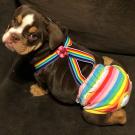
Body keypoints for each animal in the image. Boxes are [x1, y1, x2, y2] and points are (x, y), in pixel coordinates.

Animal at [2, 5, 132, 125]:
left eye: (33, 36)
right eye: (14, 21)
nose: (14, 36)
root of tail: (125, 93)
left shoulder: (40, 75)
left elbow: (41, 84)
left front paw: (36, 90)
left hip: (91, 113)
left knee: (121, 118)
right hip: (118, 67)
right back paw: (107, 59)